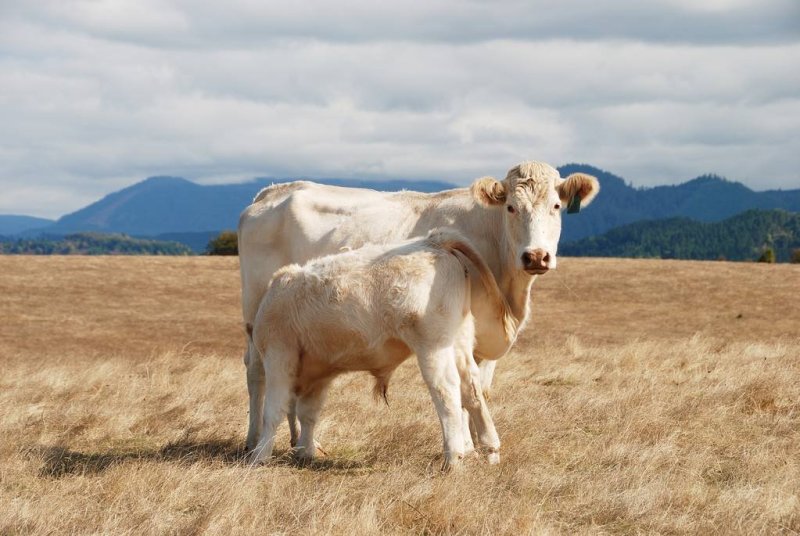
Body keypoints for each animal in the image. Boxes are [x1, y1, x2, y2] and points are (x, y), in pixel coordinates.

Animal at [247, 228, 516, 466]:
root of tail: (432, 241)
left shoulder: (279, 355)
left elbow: (273, 411)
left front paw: (260, 456)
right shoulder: (320, 372)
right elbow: (307, 413)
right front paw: (305, 452)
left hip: (433, 346)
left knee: (446, 390)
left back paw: (453, 459)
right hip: (459, 341)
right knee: (472, 389)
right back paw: (491, 450)